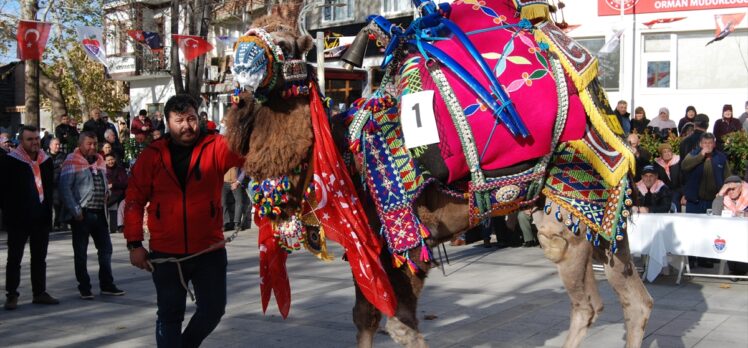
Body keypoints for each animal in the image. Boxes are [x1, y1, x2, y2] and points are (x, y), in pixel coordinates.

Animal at [225, 1, 652, 346]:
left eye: (285, 44)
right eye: (249, 31)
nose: (239, 69)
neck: (342, 157)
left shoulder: (406, 242)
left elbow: (401, 326)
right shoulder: (367, 249)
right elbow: (364, 317)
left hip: (566, 209)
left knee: (588, 304)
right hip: (603, 214)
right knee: (636, 300)